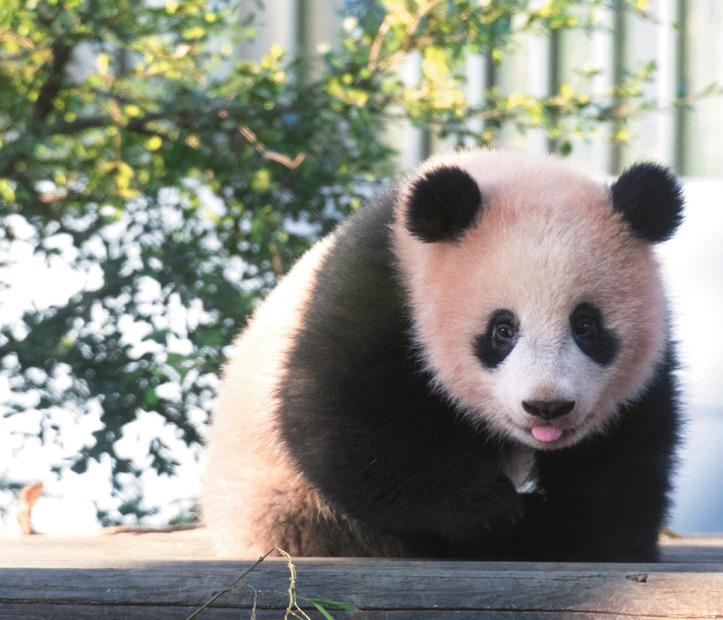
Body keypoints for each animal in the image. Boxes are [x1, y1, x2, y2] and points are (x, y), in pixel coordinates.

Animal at [202, 149, 684, 560]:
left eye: (585, 326)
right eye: (502, 331)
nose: (546, 407)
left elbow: (623, 449)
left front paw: (599, 540)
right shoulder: (383, 289)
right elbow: (336, 416)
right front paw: (485, 505)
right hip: (292, 509)